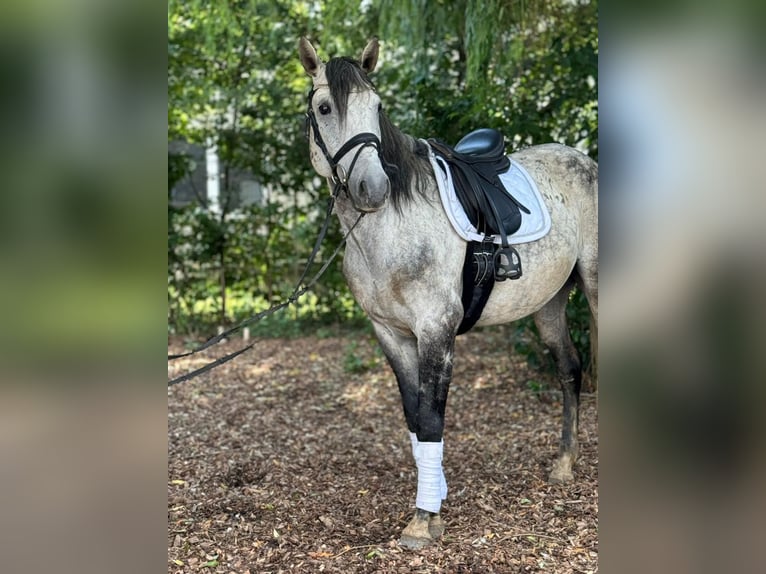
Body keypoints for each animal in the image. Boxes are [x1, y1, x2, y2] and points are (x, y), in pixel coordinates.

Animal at [298, 38, 600, 552]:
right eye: (324, 108)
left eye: (377, 106)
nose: (373, 188)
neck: (391, 228)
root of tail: (587, 160)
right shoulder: (390, 334)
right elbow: (414, 417)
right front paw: (434, 496)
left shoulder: (436, 330)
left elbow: (432, 418)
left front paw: (423, 520)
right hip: (549, 305)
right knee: (570, 369)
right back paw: (564, 464)